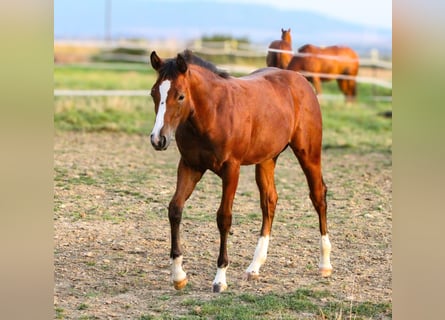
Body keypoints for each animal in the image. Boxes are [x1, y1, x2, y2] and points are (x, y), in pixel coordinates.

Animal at [150, 50, 332, 292]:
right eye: (153, 93)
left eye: (180, 96)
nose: (158, 139)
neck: (212, 113)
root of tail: (301, 80)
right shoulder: (190, 165)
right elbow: (175, 209)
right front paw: (178, 275)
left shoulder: (231, 169)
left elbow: (224, 218)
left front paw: (220, 279)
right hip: (266, 159)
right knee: (269, 201)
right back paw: (254, 267)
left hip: (308, 154)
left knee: (318, 195)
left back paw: (325, 264)